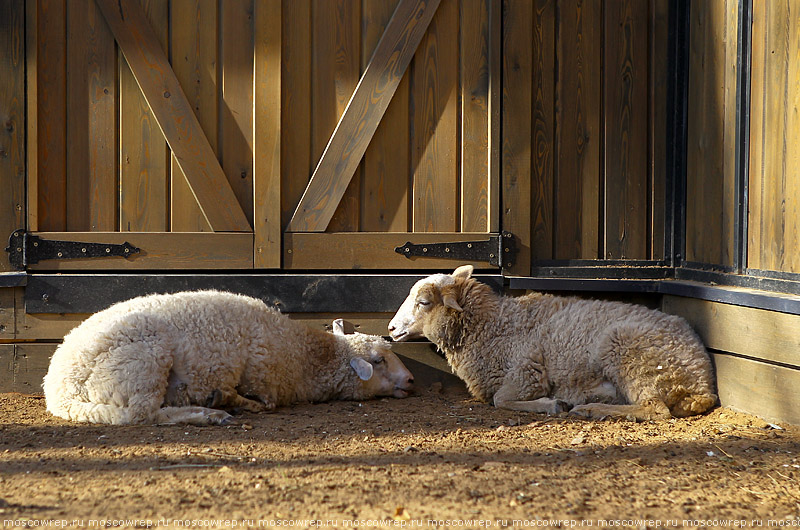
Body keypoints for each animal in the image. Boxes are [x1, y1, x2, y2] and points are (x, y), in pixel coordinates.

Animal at [45, 288, 412, 424]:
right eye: (378, 360)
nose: (410, 380)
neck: (303, 356)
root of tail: (58, 390)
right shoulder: (262, 378)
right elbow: (264, 404)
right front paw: (227, 400)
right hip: (144, 361)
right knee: (142, 414)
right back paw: (209, 414)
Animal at [390, 266, 720, 418]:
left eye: (423, 302)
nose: (391, 328)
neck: (495, 322)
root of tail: (701, 383)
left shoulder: (526, 371)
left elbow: (501, 400)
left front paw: (552, 404)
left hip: (631, 352)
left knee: (655, 409)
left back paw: (592, 410)